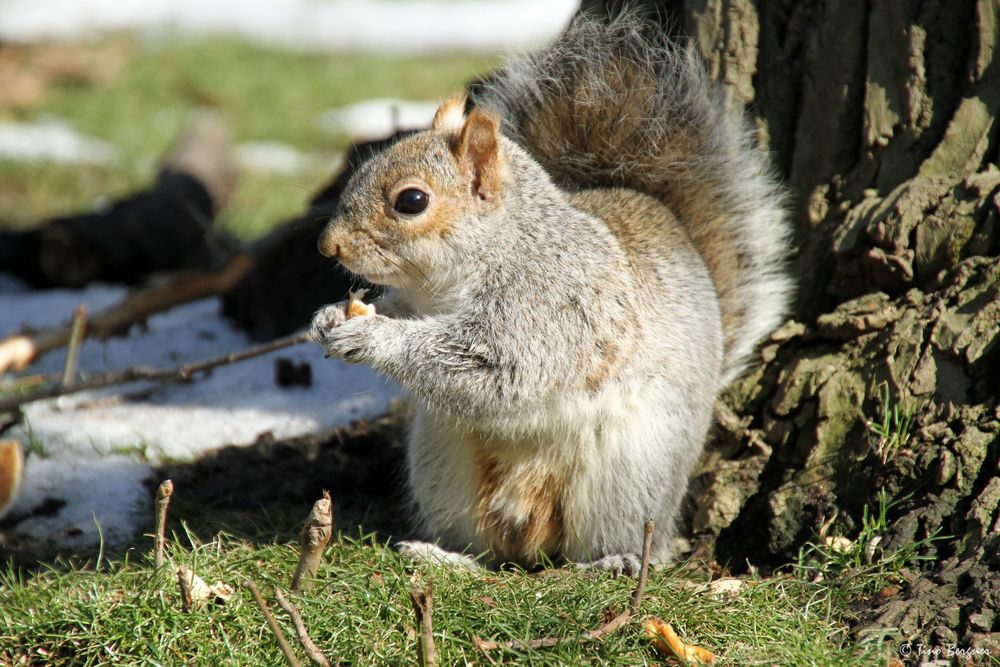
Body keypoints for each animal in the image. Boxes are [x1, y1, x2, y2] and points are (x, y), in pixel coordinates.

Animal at [308, 11, 792, 576]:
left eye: (411, 201)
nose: (328, 245)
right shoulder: (420, 299)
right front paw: (329, 317)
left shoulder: (551, 307)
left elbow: (500, 369)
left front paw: (373, 337)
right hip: (443, 466)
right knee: (488, 551)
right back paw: (445, 556)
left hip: (632, 473)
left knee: (627, 541)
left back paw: (615, 562)